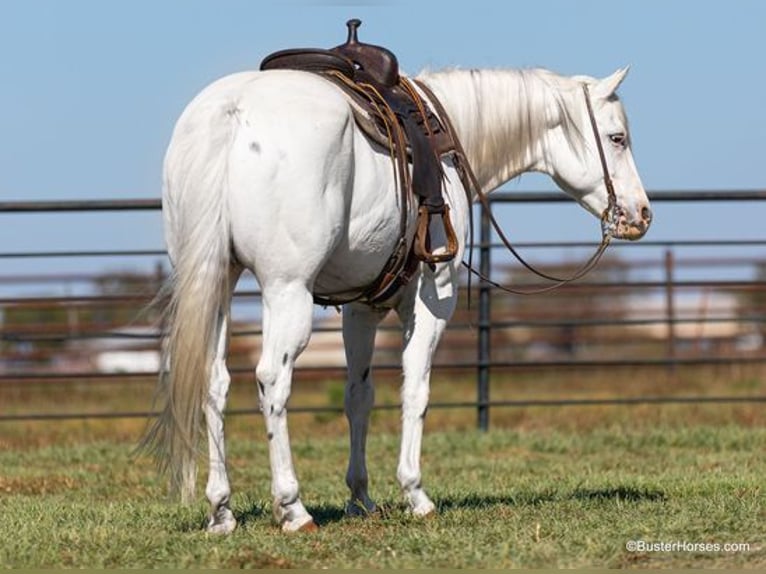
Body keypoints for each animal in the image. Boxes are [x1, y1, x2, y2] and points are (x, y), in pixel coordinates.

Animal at [144, 64, 656, 536]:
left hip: (215, 280)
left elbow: (359, 396)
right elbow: (415, 391)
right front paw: (415, 493)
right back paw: (293, 507)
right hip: (286, 290)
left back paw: (221, 511)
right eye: (617, 138)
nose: (641, 213)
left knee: (214, 382)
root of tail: (231, 111)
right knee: (273, 379)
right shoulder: (433, 301)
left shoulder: (360, 310)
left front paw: (360, 498)